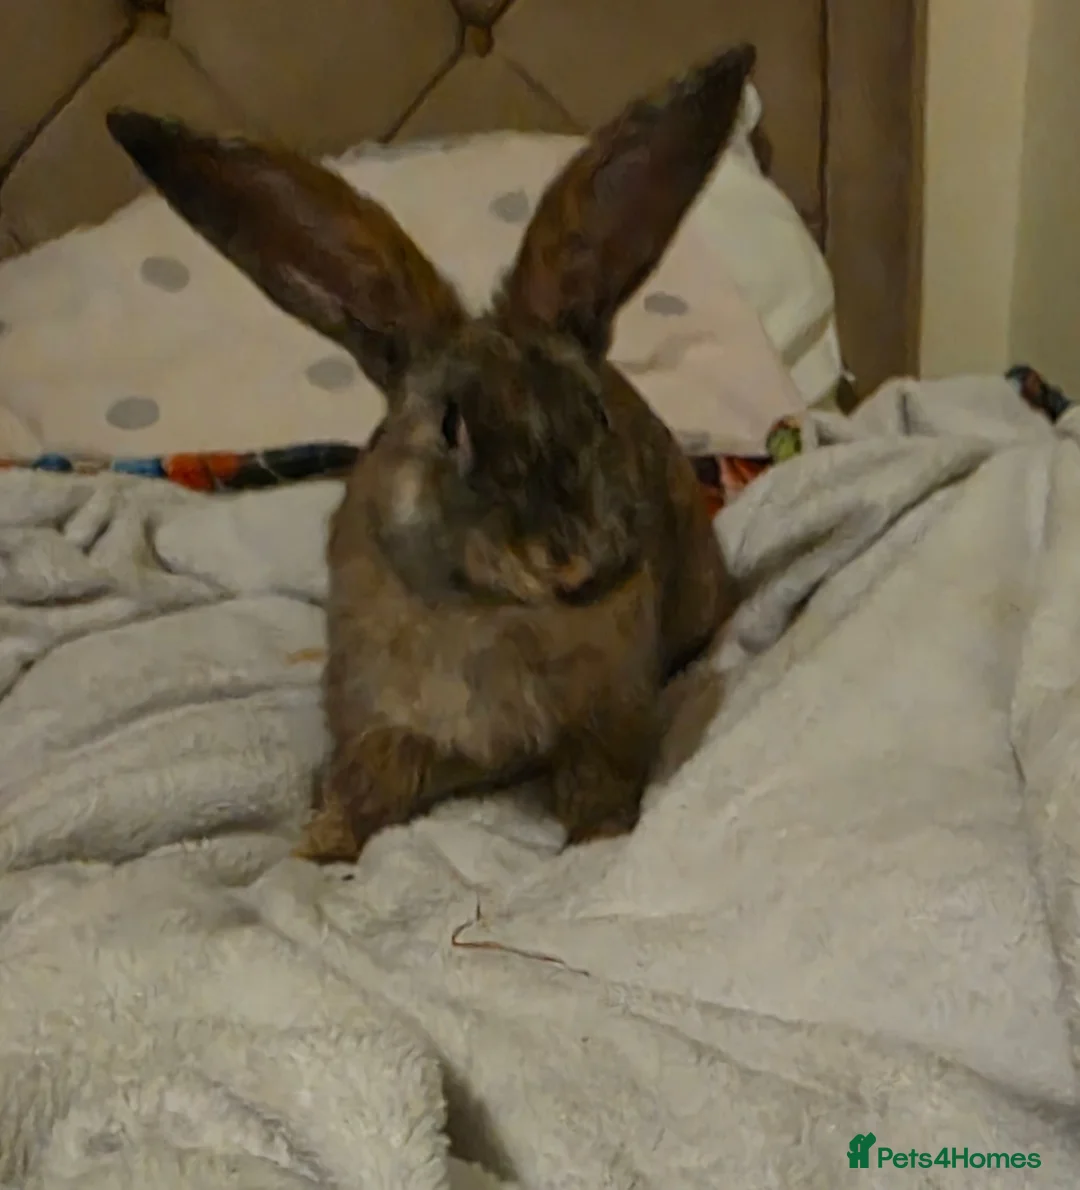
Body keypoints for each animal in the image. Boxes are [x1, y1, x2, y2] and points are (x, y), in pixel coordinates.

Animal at [105, 41, 753, 862]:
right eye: (451, 428)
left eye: (598, 412)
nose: (575, 564)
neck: (495, 615)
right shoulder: (378, 717)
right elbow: (363, 786)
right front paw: (317, 851)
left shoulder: (610, 714)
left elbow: (598, 782)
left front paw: (598, 842)